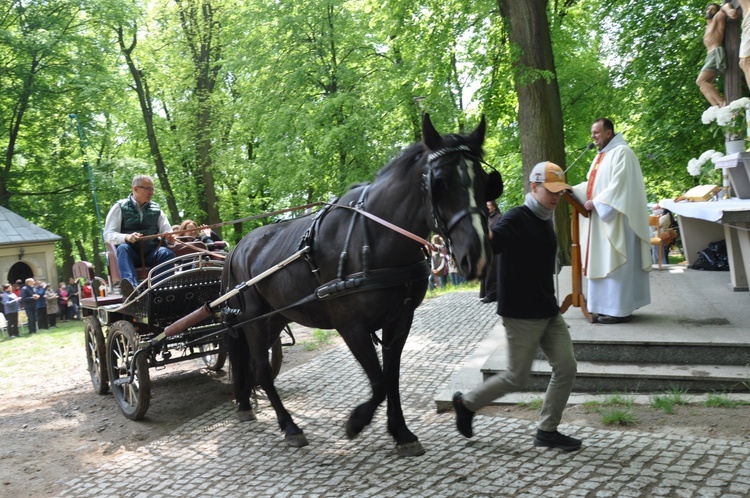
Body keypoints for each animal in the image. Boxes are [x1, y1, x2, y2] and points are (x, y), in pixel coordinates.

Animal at [226, 115, 502, 458]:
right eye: (439, 183)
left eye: (485, 182)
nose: (477, 256)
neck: (374, 236)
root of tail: (239, 246)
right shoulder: (351, 325)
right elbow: (379, 382)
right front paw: (356, 422)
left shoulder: (400, 320)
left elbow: (391, 377)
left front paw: (401, 432)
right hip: (255, 321)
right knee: (262, 370)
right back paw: (290, 426)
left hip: (277, 317)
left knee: (255, 365)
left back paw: (249, 406)